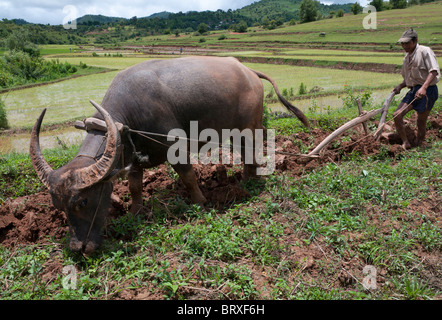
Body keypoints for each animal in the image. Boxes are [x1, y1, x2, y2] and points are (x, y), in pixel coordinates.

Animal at [30, 56, 308, 254]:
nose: (79, 248)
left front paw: (200, 202)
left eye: (83, 202)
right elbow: (134, 187)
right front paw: (135, 213)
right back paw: (247, 180)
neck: (128, 117)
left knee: (252, 149)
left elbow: (188, 176)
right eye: (58, 206)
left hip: (250, 126)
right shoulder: (132, 156)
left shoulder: (174, 149)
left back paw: (251, 182)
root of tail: (248, 71)